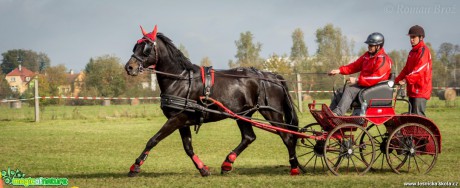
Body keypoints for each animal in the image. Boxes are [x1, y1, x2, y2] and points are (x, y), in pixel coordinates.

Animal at [124, 25, 300, 176]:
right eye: (135, 47)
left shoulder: (176, 119)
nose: (129, 67)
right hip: (243, 114)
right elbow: (188, 147)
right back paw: (227, 163)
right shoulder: (182, 121)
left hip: (271, 112)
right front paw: (203, 168)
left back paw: (294, 167)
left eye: (146, 48)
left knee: (287, 136)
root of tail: (271, 76)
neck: (180, 79)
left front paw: (135, 166)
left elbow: (153, 140)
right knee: (249, 137)